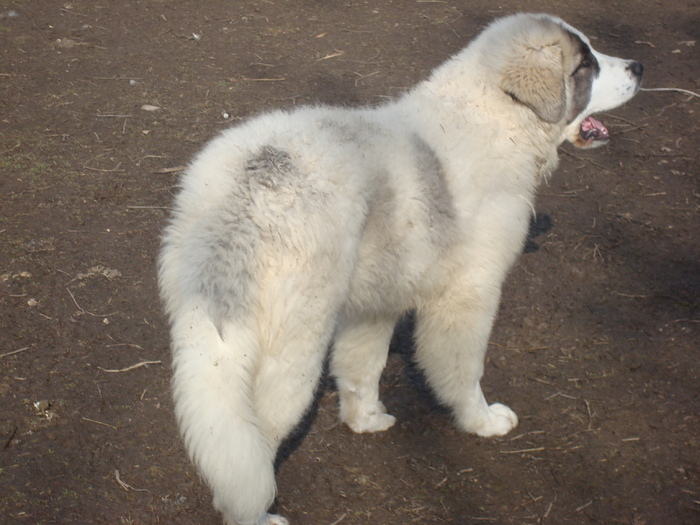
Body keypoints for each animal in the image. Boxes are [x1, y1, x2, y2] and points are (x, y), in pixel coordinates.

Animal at [157, 13, 640, 524]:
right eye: (586, 66)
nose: (639, 66)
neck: (497, 120)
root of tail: (248, 191)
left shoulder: (376, 303)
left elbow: (362, 367)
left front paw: (365, 420)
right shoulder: (470, 294)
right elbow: (463, 371)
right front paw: (481, 421)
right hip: (295, 350)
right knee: (253, 445)